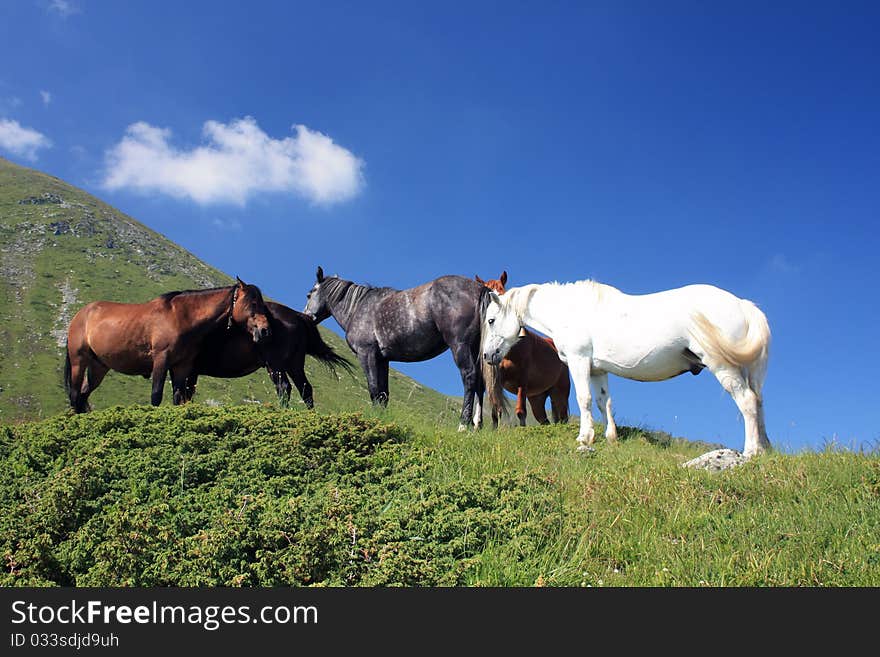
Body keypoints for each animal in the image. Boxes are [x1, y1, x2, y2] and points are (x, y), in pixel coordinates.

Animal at [64, 276, 272, 410]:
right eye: (253, 303)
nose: (264, 330)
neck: (181, 317)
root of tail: (82, 314)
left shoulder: (181, 366)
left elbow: (178, 398)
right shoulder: (161, 360)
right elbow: (156, 395)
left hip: (98, 367)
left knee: (82, 396)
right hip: (78, 361)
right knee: (75, 395)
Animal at [474, 270, 572, 428]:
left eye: (503, 292)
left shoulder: (522, 381)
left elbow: (520, 411)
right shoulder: (495, 382)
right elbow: (495, 411)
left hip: (559, 392)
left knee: (563, 417)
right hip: (537, 398)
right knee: (545, 421)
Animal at [482, 280, 768, 456]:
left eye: (491, 320)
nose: (486, 355)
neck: (570, 311)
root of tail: (743, 305)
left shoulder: (579, 361)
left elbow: (584, 399)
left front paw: (584, 437)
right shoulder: (598, 370)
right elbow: (603, 402)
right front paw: (611, 437)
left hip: (723, 366)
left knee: (746, 401)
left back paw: (750, 451)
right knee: (757, 401)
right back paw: (763, 449)